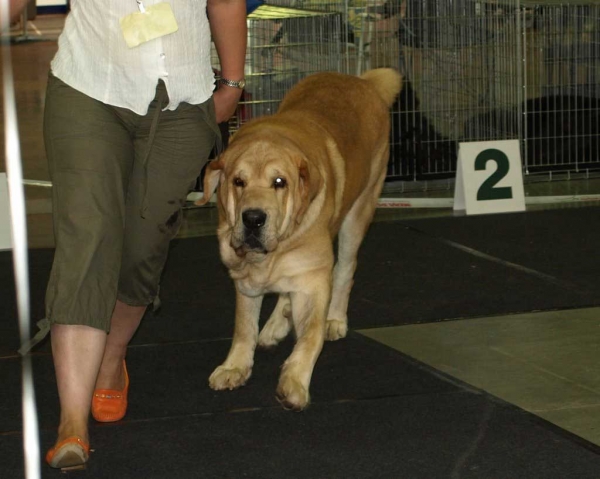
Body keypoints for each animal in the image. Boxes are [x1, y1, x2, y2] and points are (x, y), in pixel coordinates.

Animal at [198, 68, 404, 412]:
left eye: (279, 182)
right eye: (238, 181)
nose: (253, 218)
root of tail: (363, 81)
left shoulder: (312, 280)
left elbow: (311, 336)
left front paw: (293, 383)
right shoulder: (245, 279)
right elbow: (244, 326)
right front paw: (235, 367)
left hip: (359, 211)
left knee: (345, 269)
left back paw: (334, 318)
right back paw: (274, 326)